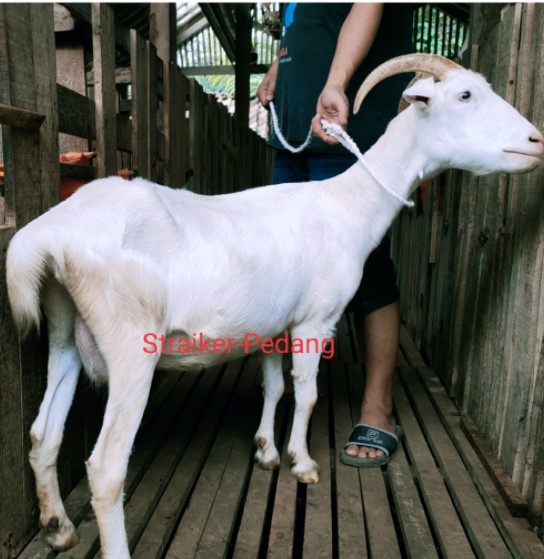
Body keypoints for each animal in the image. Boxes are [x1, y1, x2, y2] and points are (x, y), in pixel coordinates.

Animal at [6, 53, 544, 558]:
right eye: (465, 95)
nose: (536, 141)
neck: (347, 206)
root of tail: (47, 236)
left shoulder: (269, 324)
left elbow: (273, 387)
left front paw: (265, 450)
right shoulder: (315, 319)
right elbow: (305, 393)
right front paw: (301, 462)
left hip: (64, 331)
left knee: (42, 435)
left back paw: (58, 528)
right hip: (130, 343)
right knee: (105, 466)